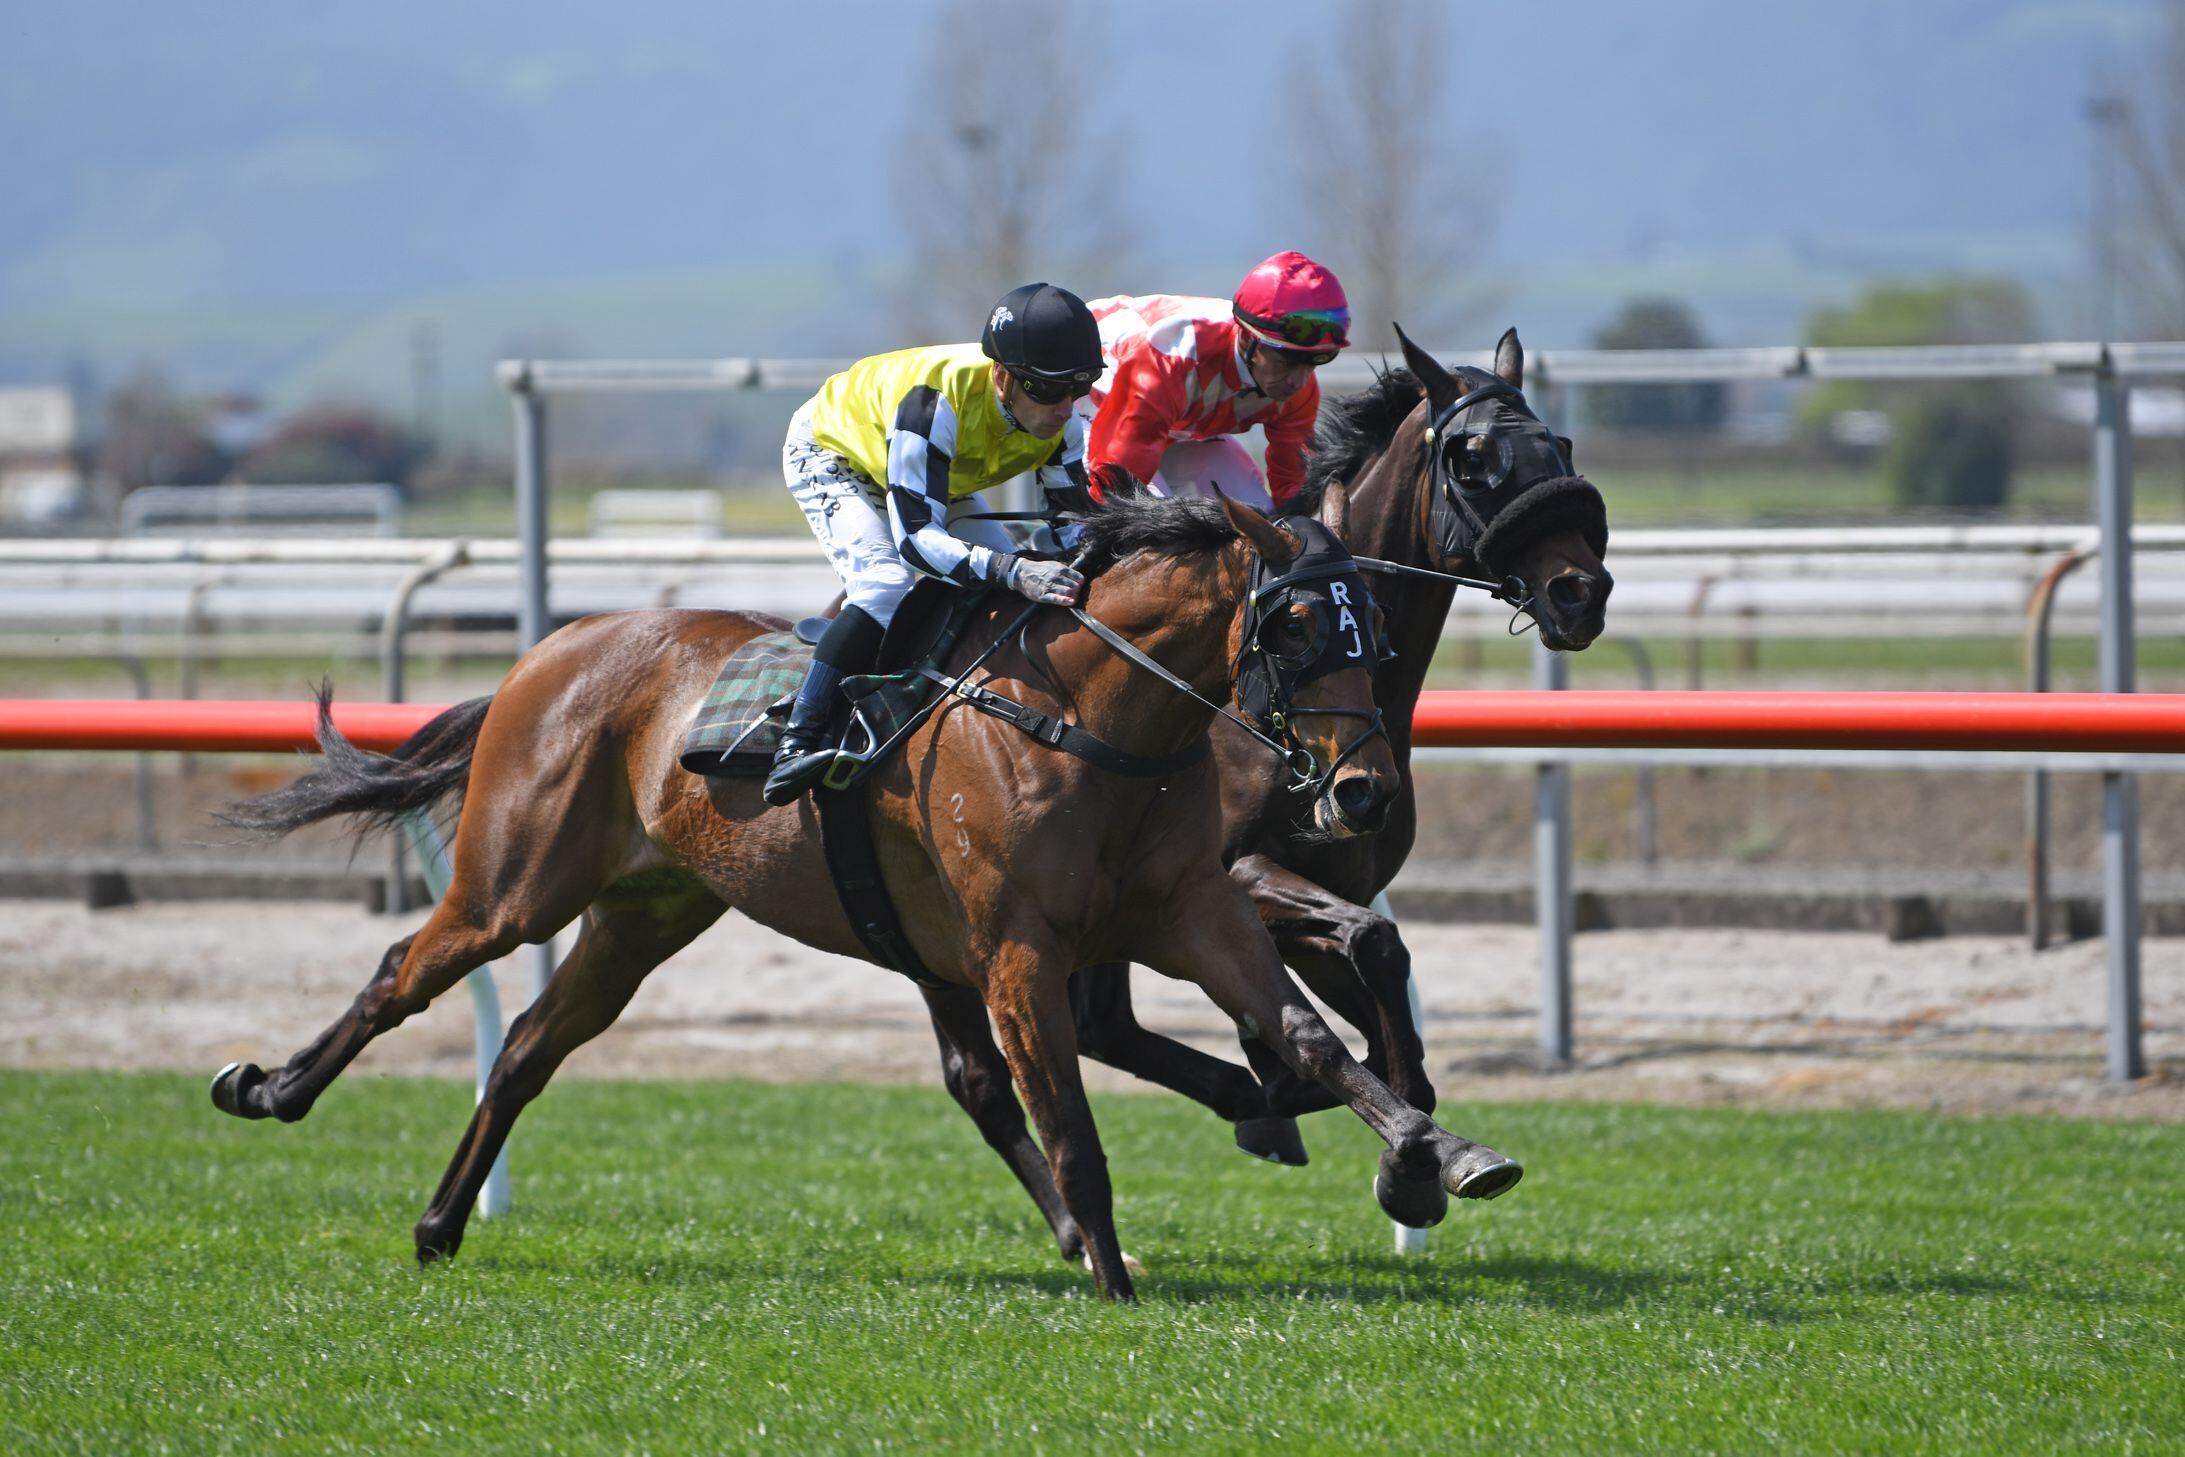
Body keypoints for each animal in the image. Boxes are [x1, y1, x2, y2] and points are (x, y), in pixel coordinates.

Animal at [213, 489, 1529, 1301]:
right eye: (1298, 620)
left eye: (1370, 624)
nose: (1363, 789)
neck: (1097, 721)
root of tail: (553, 648)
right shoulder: (1013, 952)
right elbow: (1072, 1121)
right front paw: (1112, 1276)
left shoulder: (1192, 910)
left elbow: (1306, 1036)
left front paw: (1438, 1149)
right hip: (516, 883)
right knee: (402, 973)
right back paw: (267, 1087)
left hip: (646, 908)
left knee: (530, 1043)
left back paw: (440, 1220)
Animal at [930, 325, 1616, 1240]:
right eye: (1472, 459)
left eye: (1559, 445)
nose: (1581, 591)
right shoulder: (1234, 873)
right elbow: (1374, 946)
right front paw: (1397, 1160)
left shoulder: (1309, 888)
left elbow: (1380, 1000)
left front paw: (1409, 1154)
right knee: (1012, 1058)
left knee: (1103, 1025)